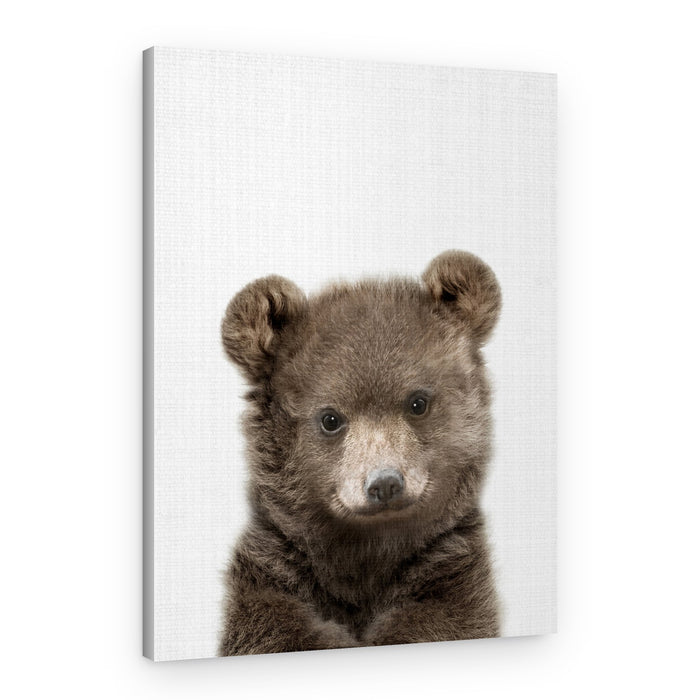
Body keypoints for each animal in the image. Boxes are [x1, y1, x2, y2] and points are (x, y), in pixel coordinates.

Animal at [218, 250, 502, 655]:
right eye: (330, 418)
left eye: (417, 402)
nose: (384, 484)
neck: (365, 557)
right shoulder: (272, 583)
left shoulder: (449, 580)